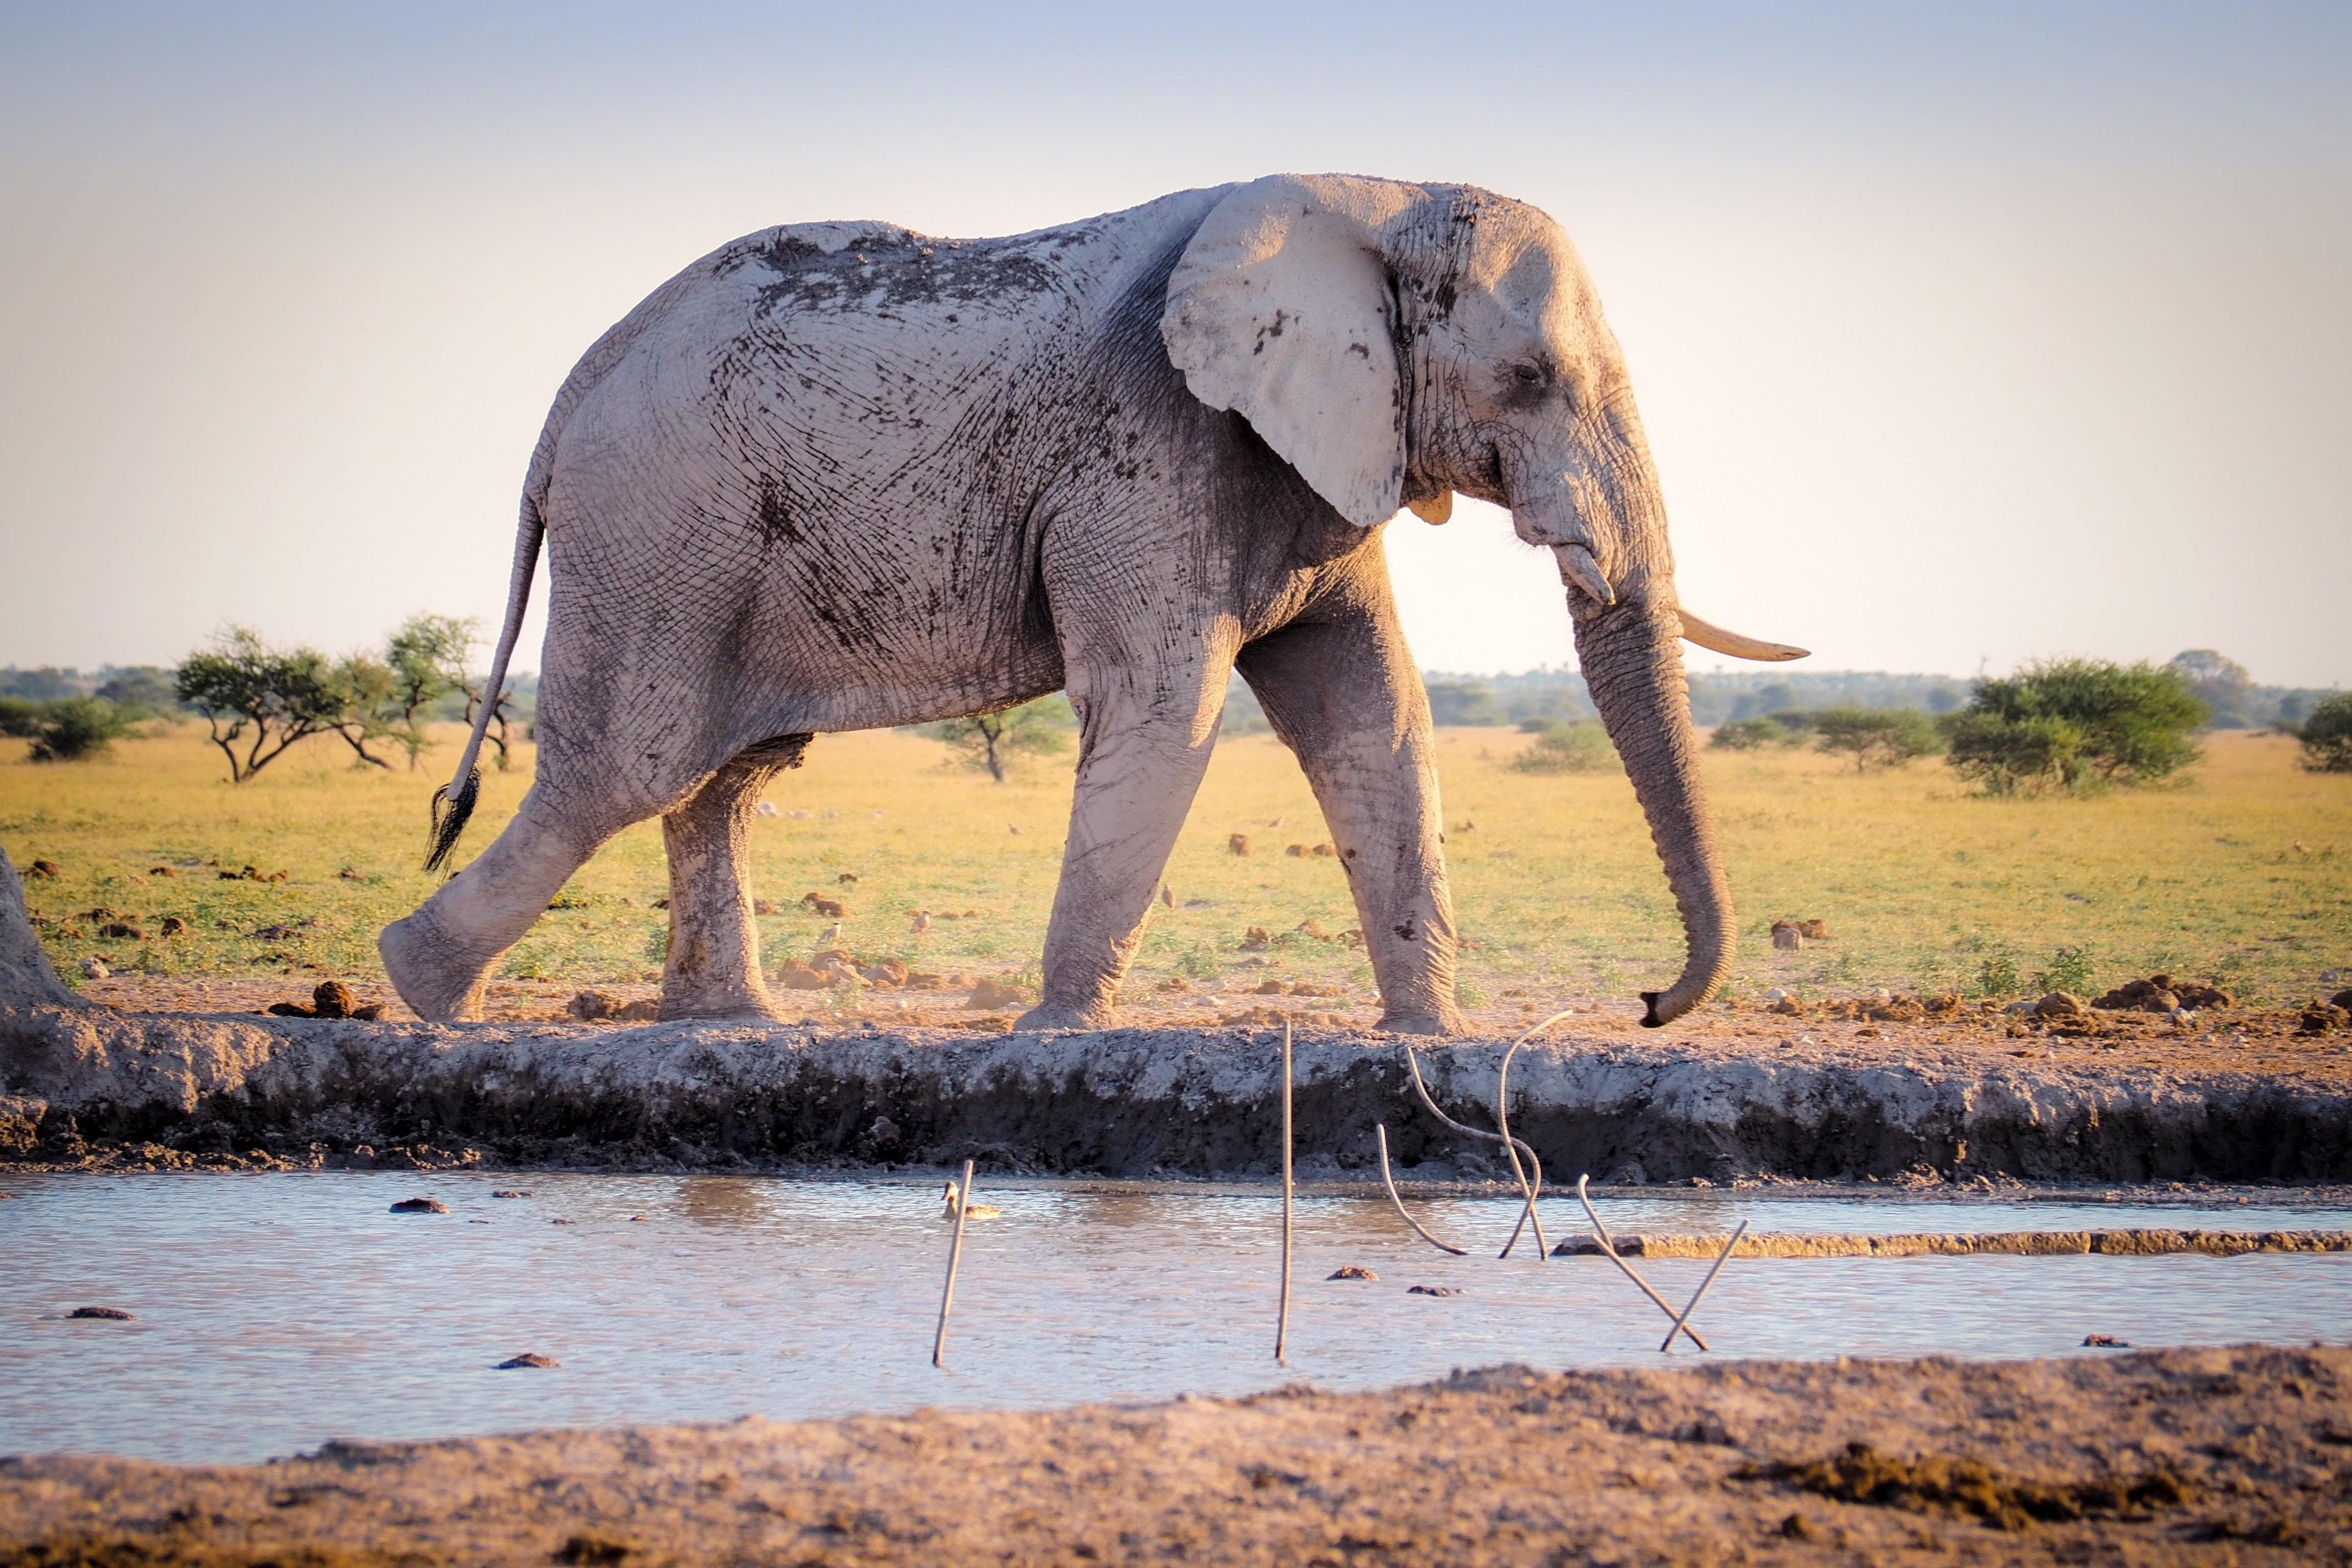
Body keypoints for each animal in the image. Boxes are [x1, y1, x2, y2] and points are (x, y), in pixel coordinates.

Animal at [386, 171, 1806, 1034]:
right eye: (1526, 380)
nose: (1646, 1007)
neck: (1374, 194)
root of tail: (573, 388)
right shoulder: (1153, 443)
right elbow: (1164, 709)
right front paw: (1055, 1030)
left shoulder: (1308, 453)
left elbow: (1375, 712)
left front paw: (1430, 1039)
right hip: (661, 532)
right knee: (622, 770)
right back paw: (423, 991)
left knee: (723, 774)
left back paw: (731, 1024)